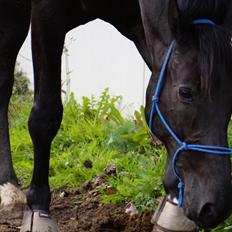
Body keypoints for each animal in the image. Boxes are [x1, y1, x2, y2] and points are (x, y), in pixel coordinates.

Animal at [0, 0, 232, 231]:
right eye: (185, 92)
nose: (213, 207)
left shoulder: (137, 24)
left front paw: (173, 200)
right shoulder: (46, 12)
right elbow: (45, 116)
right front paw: (39, 208)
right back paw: (8, 189)